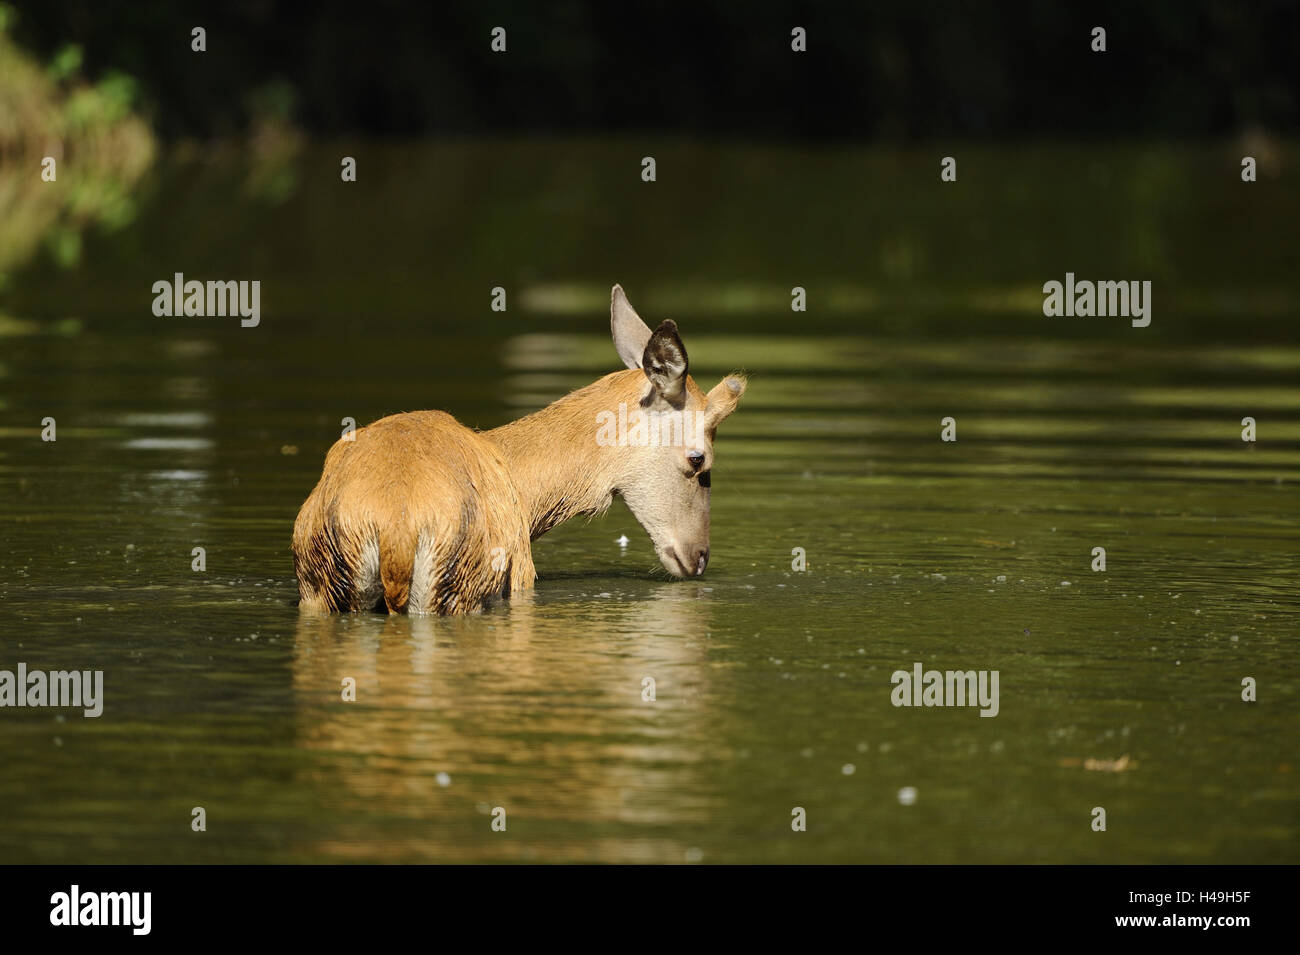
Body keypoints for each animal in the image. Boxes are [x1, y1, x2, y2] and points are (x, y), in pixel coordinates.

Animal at [289, 283, 748, 615]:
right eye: (699, 458)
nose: (699, 556)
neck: (529, 503)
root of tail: (393, 531)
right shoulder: (523, 576)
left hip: (316, 588)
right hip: (459, 588)